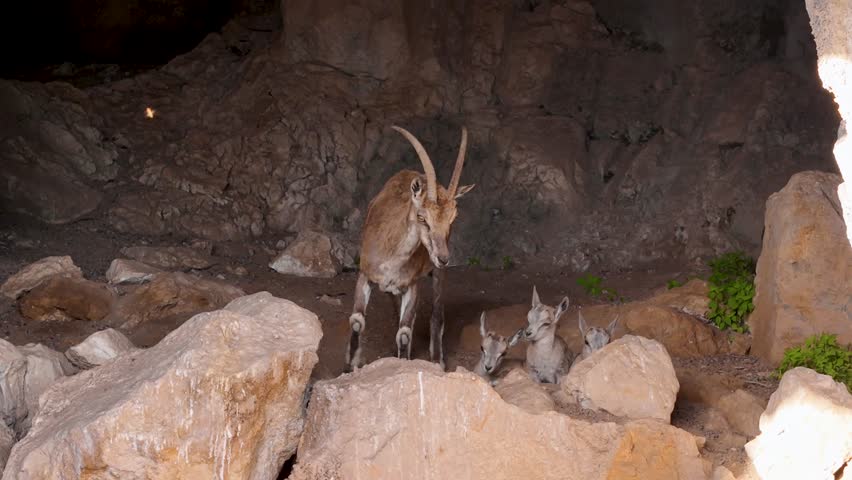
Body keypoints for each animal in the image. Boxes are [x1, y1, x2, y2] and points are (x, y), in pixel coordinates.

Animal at [345, 125, 474, 371]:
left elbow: (403, 333)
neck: (391, 255)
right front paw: (349, 367)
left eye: (452, 219)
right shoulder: (365, 275)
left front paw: (402, 364)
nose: (443, 258)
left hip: (436, 274)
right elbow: (357, 322)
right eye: (422, 217)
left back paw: (437, 360)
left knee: (436, 314)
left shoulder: (412, 285)